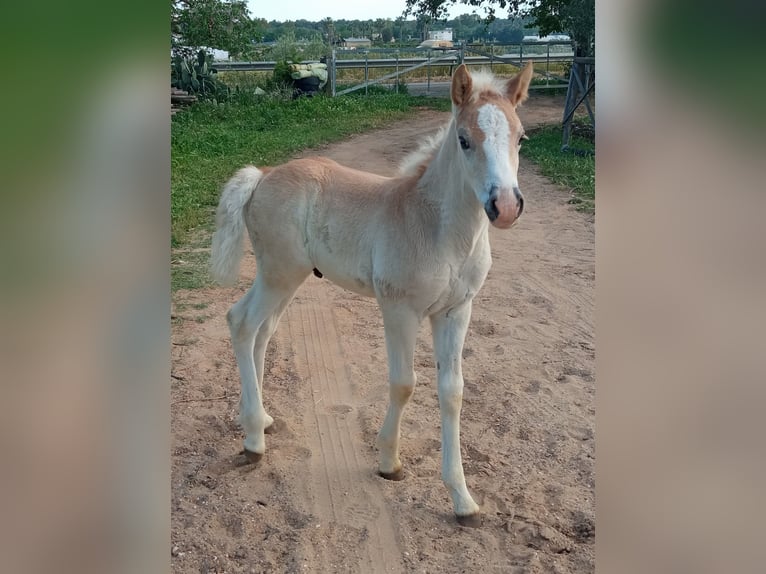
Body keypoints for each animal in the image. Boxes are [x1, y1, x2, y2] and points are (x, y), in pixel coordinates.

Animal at [210, 63, 534, 527]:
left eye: (521, 137)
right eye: (464, 139)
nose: (504, 206)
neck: (436, 228)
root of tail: (263, 175)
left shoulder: (456, 311)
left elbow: (452, 391)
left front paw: (463, 499)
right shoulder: (399, 309)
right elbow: (404, 384)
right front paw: (388, 463)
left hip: (285, 277)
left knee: (261, 331)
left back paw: (262, 418)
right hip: (279, 273)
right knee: (242, 323)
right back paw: (254, 439)